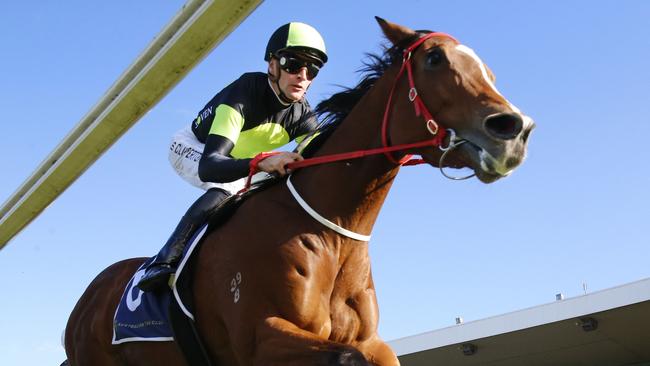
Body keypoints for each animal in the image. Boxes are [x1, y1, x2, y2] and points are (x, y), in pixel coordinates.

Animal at [64, 17, 532, 366]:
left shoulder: (370, 340)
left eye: (488, 70)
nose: (514, 129)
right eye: (434, 59)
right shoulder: (261, 339)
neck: (333, 234)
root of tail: (85, 301)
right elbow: (345, 357)